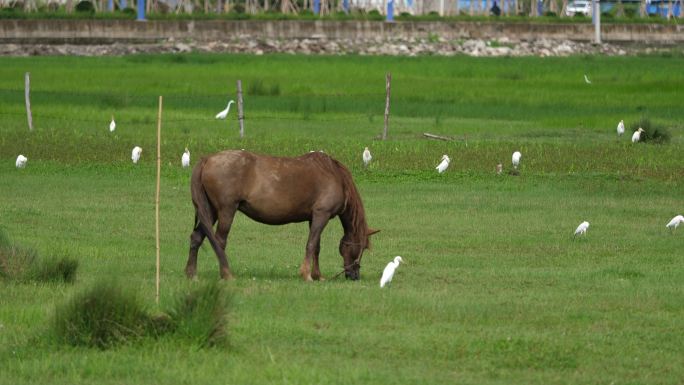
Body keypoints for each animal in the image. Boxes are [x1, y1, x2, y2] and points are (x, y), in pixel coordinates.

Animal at [187, 149, 380, 280]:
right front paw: (307, 275)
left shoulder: (313, 218)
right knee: (219, 241)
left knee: (197, 237)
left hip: (210, 211)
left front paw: (318, 275)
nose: (355, 275)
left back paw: (191, 273)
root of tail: (207, 159)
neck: (335, 175)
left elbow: (316, 247)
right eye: (361, 247)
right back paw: (226, 274)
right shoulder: (321, 215)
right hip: (226, 210)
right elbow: (311, 245)